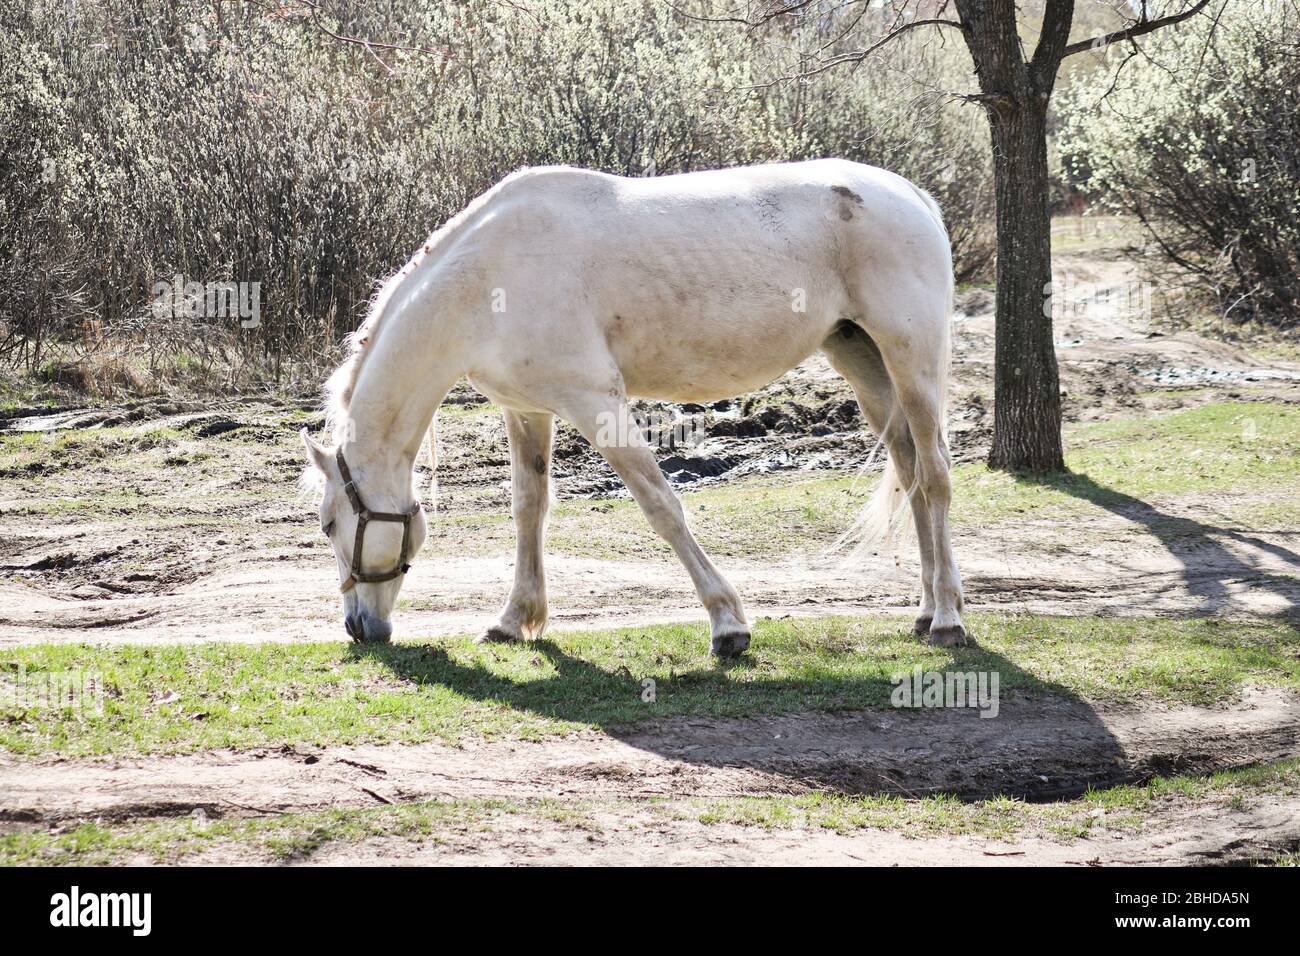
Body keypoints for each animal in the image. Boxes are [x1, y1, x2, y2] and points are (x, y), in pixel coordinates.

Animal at [299, 162, 961, 658]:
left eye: (330, 524)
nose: (356, 628)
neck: (488, 279)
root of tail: (912, 196)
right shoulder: (527, 411)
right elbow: (528, 509)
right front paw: (515, 621)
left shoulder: (597, 403)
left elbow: (661, 505)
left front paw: (728, 626)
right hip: (865, 364)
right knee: (909, 473)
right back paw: (925, 610)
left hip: (913, 363)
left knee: (933, 476)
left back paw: (950, 618)